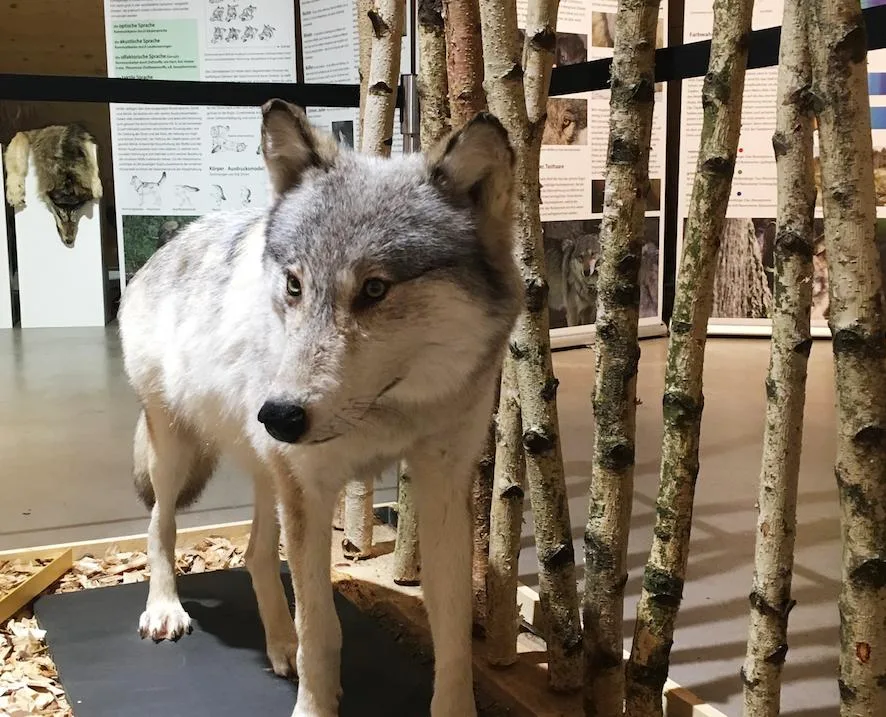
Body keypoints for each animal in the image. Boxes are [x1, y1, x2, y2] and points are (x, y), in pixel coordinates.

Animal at [117, 100, 520, 717]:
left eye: (375, 289)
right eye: (294, 285)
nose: (280, 415)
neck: (387, 412)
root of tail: (176, 237)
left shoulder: (440, 484)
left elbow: (451, 630)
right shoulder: (309, 486)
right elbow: (321, 629)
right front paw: (314, 704)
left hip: (267, 468)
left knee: (256, 554)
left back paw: (278, 645)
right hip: (178, 452)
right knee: (158, 526)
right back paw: (165, 610)